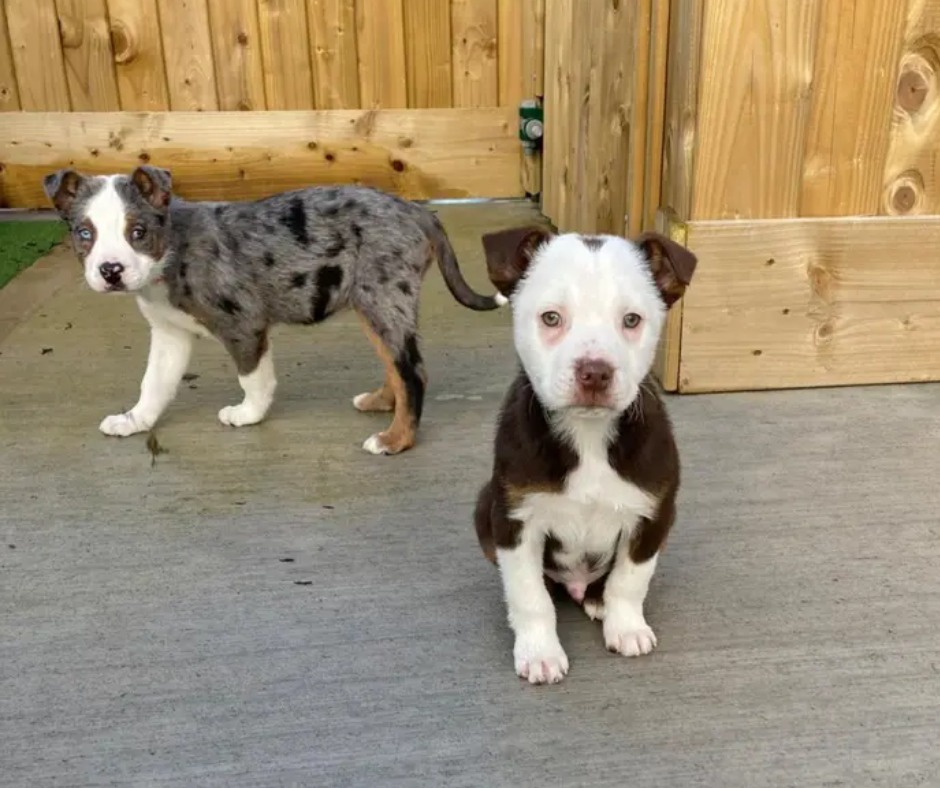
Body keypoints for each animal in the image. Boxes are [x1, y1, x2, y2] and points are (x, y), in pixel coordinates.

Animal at [42, 166, 506, 456]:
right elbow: (153, 384)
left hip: (383, 296)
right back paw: (381, 403)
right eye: (84, 233)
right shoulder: (169, 334)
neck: (171, 248)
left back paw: (395, 441)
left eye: (137, 232)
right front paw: (134, 421)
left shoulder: (243, 324)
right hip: (372, 303)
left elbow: (254, 378)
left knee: (412, 371)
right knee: (397, 365)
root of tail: (415, 210)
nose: (111, 271)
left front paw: (247, 415)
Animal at [474, 223, 692, 684]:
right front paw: (539, 651)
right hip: (484, 504)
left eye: (631, 320)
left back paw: (596, 600)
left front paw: (625, 627)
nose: (595, 371)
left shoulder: (654, 515)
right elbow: (528, 594)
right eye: (551, 318)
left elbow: (629, 580)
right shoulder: (515, 520)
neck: (588, 436)